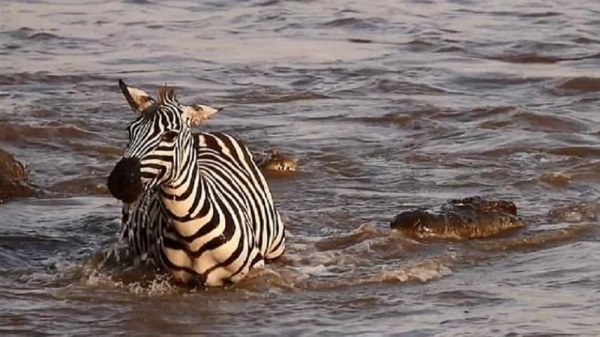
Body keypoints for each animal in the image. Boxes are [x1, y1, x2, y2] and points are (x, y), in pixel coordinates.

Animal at [107, 79, 286, 286]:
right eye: (129, 131)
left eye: (170, 135)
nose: (120, 181)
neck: (190, 235)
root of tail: (207, 135)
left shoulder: (254, 269)